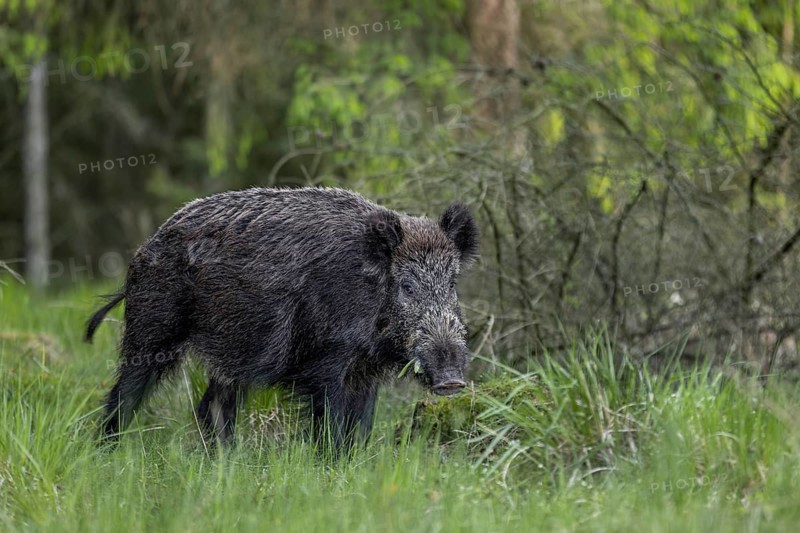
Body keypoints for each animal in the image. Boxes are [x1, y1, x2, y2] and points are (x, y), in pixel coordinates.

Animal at [86, 187, 480, 448]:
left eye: (452, 282)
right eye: (407, 285)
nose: (452, 381)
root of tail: (146, 247)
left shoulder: (365, 370)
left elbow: (361, 424)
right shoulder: (324, 360)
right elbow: (331, 424)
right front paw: (331, 468)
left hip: (232, 352)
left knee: (210, 406)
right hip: (152, 327)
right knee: (125, 393)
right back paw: (107, 452)